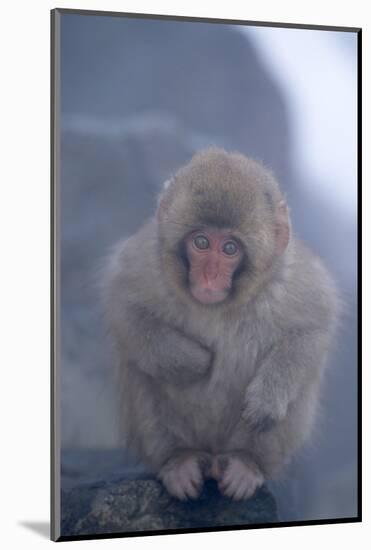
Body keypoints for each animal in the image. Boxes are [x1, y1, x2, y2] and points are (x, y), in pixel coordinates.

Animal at [102, 149, 340, 502]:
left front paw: (266, 400)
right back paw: (179, 460)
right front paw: (193, 362)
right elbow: (123, 306)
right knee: (141, 372)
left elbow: (312, 329)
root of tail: (213, 458)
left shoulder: (291, 278)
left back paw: (246, 463)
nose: (210, 276)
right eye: (201, 242)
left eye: (229, 248)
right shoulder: (145, 261)